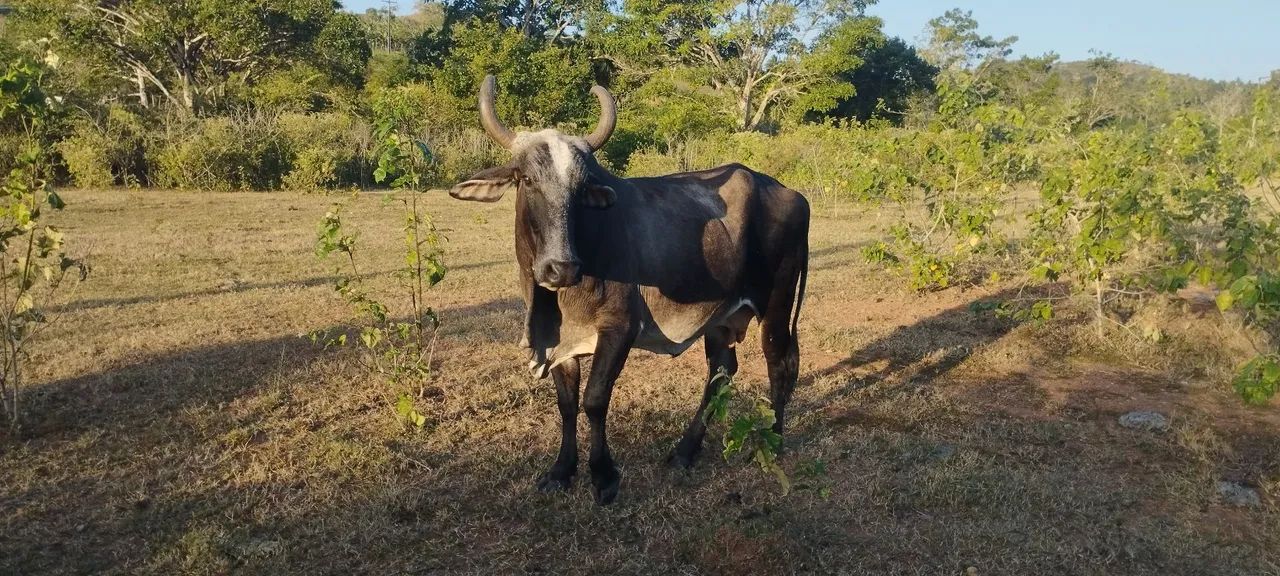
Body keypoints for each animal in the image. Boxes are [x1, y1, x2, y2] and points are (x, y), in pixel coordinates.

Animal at [448, 75, 810, 505]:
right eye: (528, 180)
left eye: (581, 189)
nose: (561, 267)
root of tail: (791, 193)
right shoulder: (562, 342)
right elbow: (567, 404)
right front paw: (561, 471)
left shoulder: (619, 329)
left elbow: (594, 399)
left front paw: (603, 475)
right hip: (721, 318)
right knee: (721, 372)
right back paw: (685, 452)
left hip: (777, 305)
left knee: (779, 362)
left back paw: (773, 438)